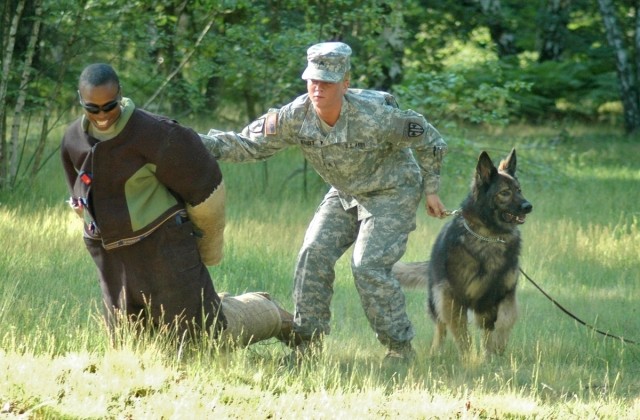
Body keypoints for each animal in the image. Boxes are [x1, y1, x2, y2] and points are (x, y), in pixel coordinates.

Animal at [396, 149, 528, 356]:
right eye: (505, 193)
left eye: (519, 190)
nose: (528, 206)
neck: (489, 236)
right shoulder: (453, 298)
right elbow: (462, 334)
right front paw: (470, 358)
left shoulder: (502, 294)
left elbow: (506, 320)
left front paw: (496, 349)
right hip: (437, 299)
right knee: (440, 327)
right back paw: (436, 352)